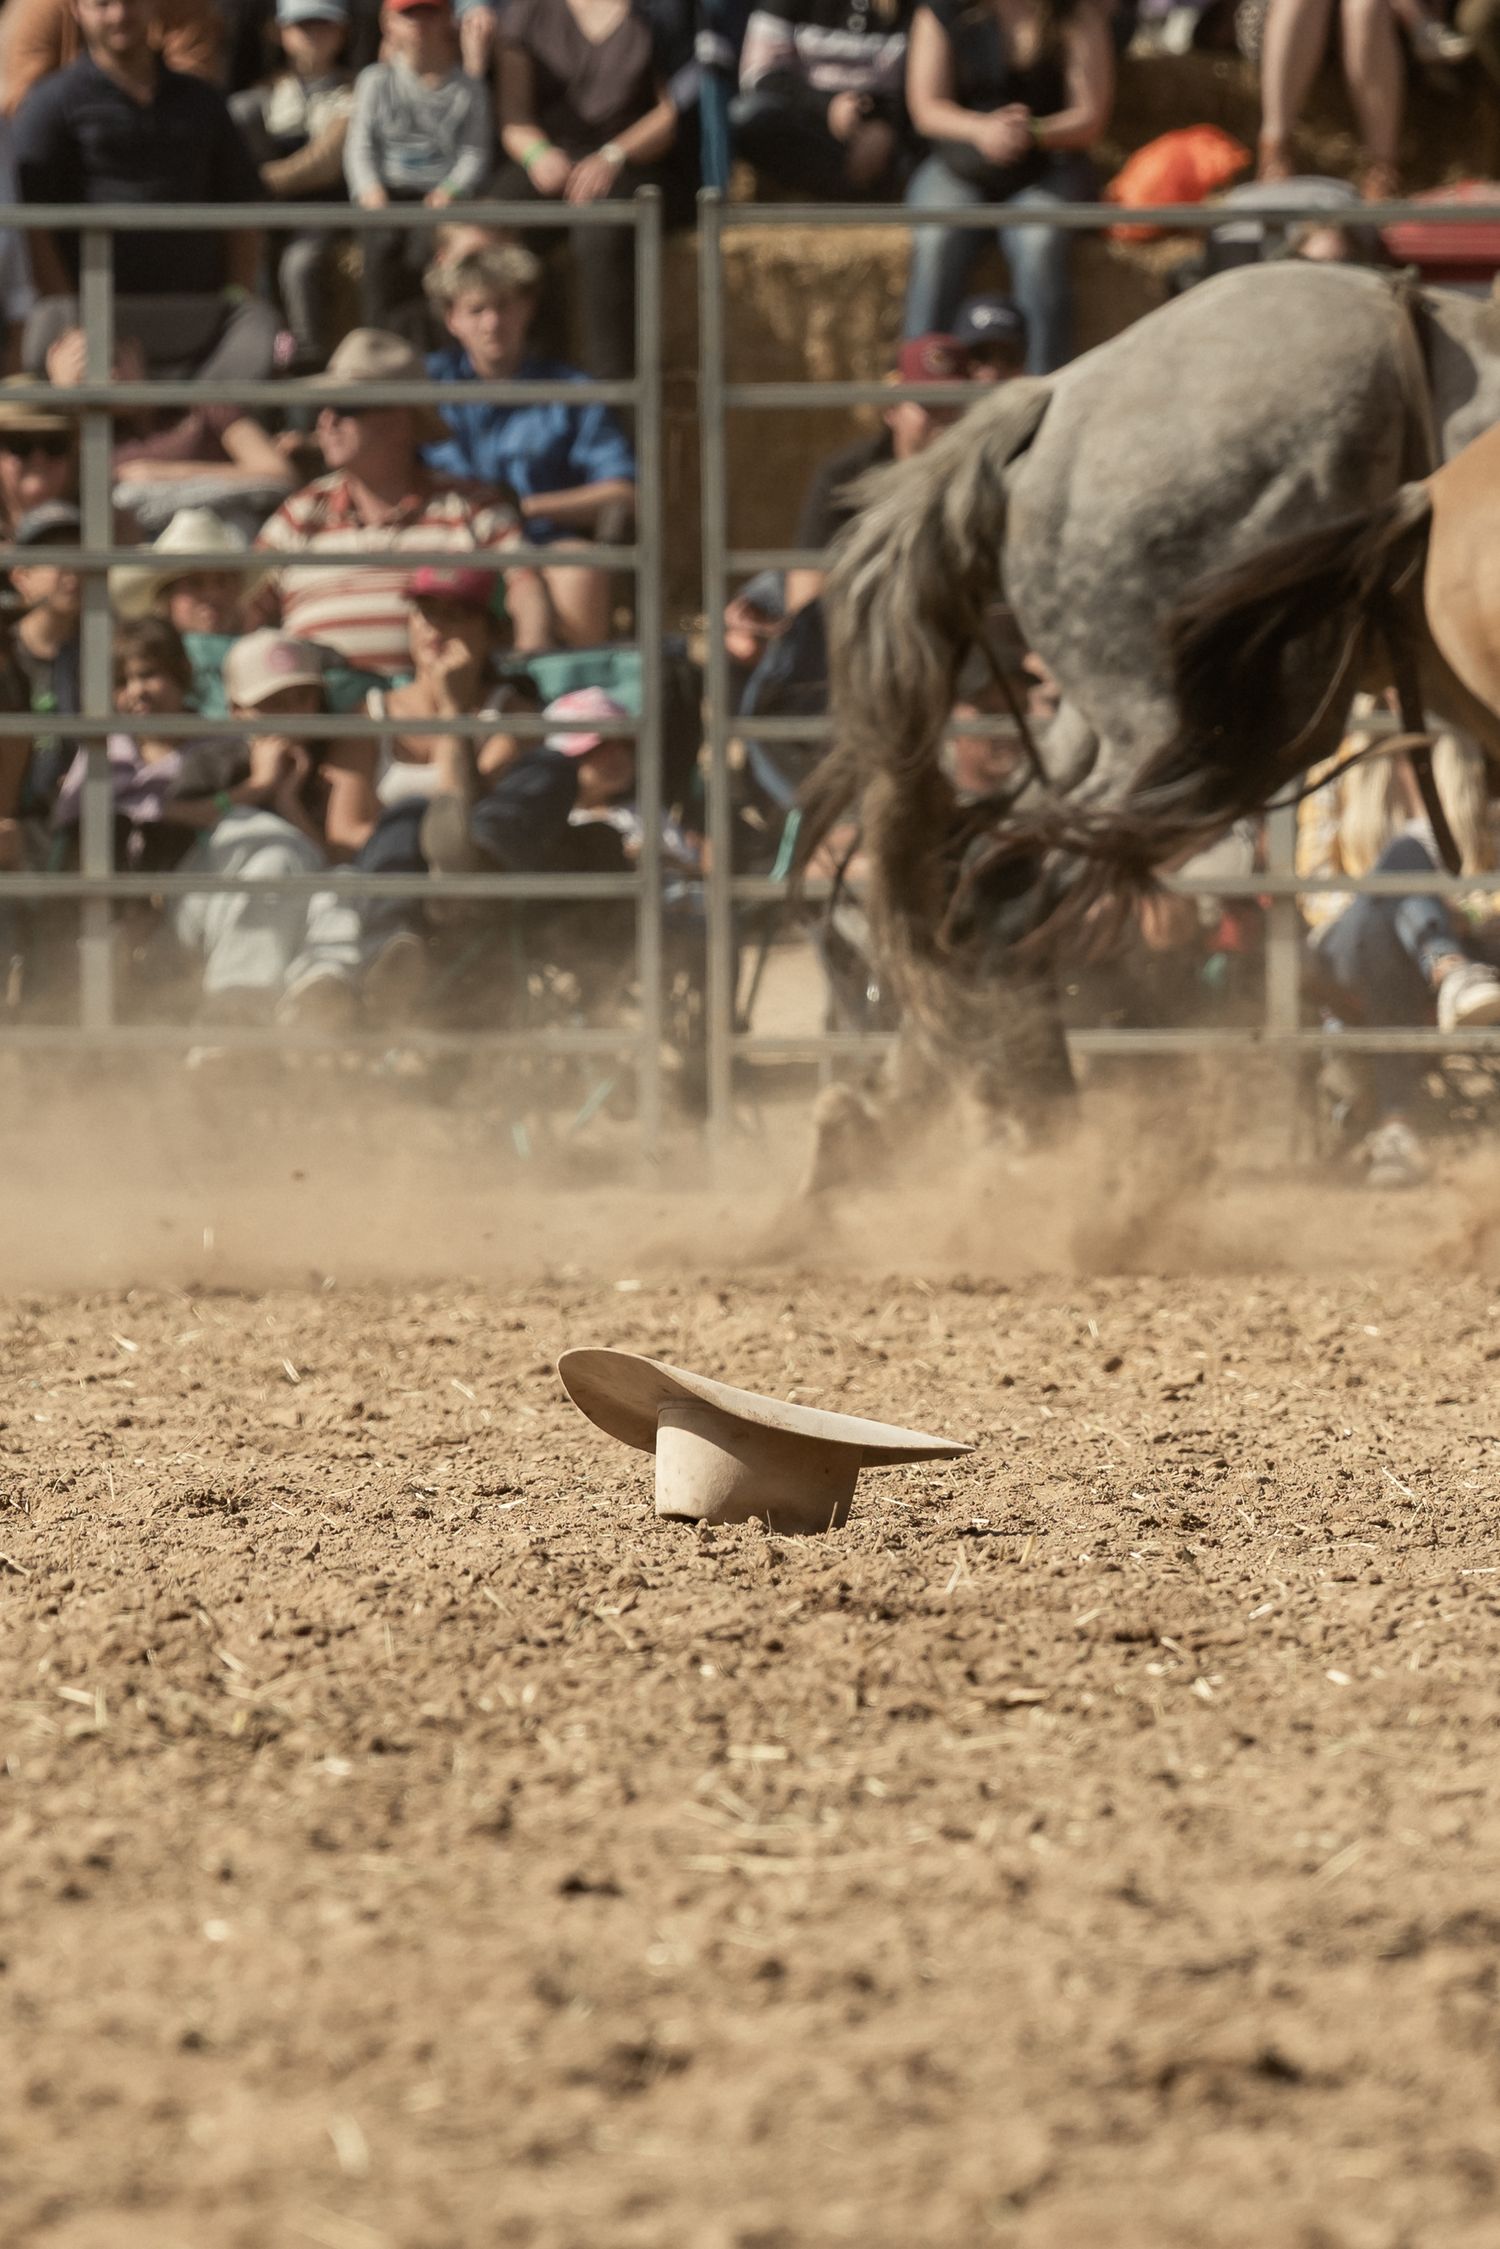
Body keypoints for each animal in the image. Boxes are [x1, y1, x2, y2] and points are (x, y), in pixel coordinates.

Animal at [795, 260, 1500, 1188]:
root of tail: (1058, 399)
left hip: (1103, 723)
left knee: (977, 882)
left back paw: (878, 1129)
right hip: (1200, 727)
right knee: (1007, 886)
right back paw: (1026, 1123)